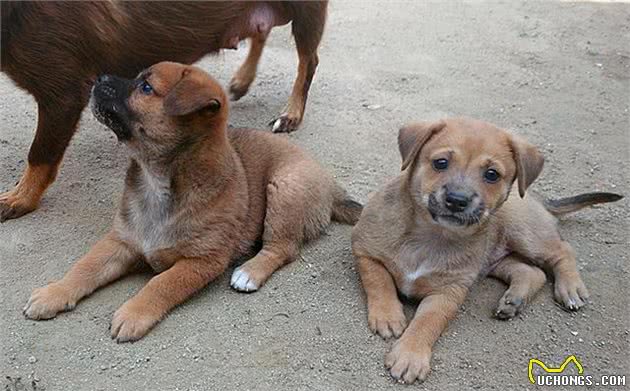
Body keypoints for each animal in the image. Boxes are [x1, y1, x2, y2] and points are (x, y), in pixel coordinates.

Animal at [24, 61, 362, 344]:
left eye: (146, 87)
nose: (98, 77)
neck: (157, 182)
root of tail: (330, 185)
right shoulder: (120, 241)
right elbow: (84, 267)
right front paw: (54, 293)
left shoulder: (201, 261)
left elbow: (160, 284)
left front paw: (134, 313)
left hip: (285, 188)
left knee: (283, 248)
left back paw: (249, 272)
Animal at [354, 118, 624, 384]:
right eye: (441, 163)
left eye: (492, 174)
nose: (457, 200)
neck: (431, 235)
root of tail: (537, 198)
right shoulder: (366, 252)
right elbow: (379, 280)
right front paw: (388, 317)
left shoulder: (449, 292)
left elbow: (427, 322)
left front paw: (410, 355)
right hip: (494, 257)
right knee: (532, 271)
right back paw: (513, 300)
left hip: (524, 234)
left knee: (562, 250)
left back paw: (570, 288)